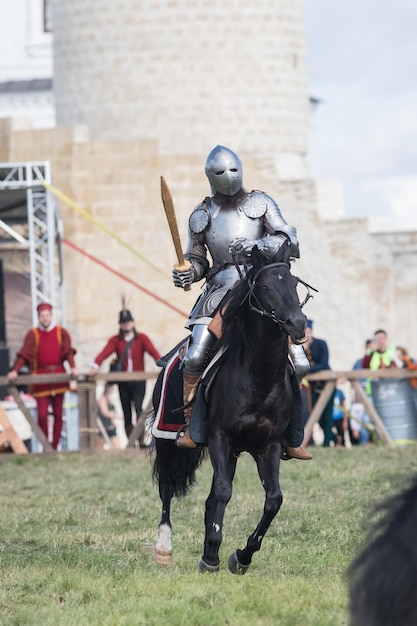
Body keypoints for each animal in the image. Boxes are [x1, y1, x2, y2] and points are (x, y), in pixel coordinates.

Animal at [152, 241, 308, 572]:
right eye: (264, 286)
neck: (258, 378)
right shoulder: (218, 438)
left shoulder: (268, 446)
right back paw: (164, 548)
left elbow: (273, 499)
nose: (298, 324)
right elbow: (223, 492)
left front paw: (241, 555)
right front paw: (212, 555)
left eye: (293, 284)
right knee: (167, 487)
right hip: (166, 441)